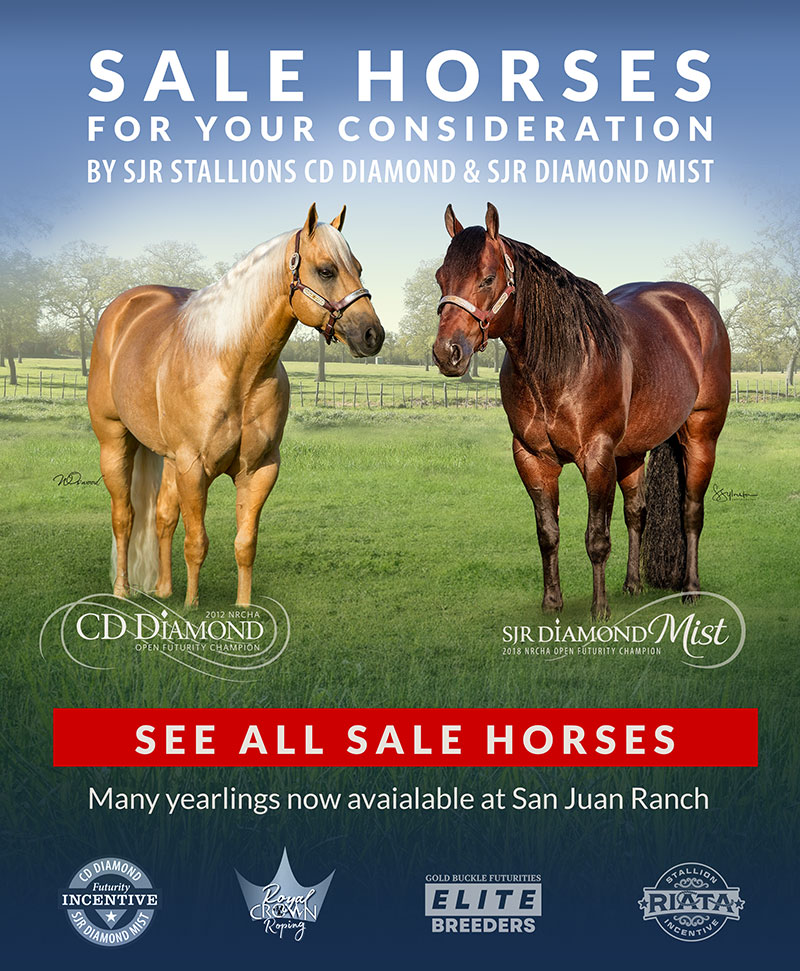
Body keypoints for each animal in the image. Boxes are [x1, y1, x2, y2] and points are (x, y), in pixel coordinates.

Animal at [88, 204, 384, 607]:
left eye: (358, 267)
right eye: (326, 270)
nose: (373, 335)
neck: (235, 366)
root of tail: (120, 310)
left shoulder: (259, 470)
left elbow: (245, 544)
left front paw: (242, 605)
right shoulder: (194, 469)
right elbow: (197, 543)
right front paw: (192, 606)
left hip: (169, 459)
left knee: (162, 517)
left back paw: (164, 589)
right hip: (115, 443)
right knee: (124, 517)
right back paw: (122, 591)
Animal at [432, 203, 730, 619]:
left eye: (488, 278)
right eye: (441, 277)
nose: (448, 352)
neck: (562, 363)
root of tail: (696, 307)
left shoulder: (598, 457)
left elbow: (597, 538)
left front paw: (599, 609)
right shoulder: (532, 458)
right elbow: (548, 533)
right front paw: (552, 601)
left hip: (701, 436)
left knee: (691, 512)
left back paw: (690, 589)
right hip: (631, 451)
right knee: (637, 512)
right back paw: (632, 585)